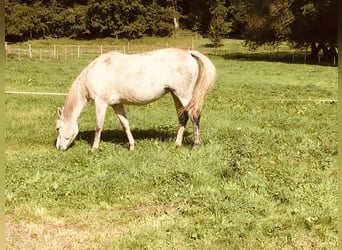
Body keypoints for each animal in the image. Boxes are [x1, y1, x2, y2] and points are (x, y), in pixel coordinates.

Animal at [56, 48, 216, 151]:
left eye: (58, 128)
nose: (58, 147)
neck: (97, 71)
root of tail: (188, 52)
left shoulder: (101, 102)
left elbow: (98, 126)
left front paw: (94, 148)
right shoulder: (117, 104)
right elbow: (125, 124)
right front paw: (132, 146)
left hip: (184, 95)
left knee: (194, 115)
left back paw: (195, 144)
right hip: (175, 94)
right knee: (183, 117)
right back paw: (177, 144)